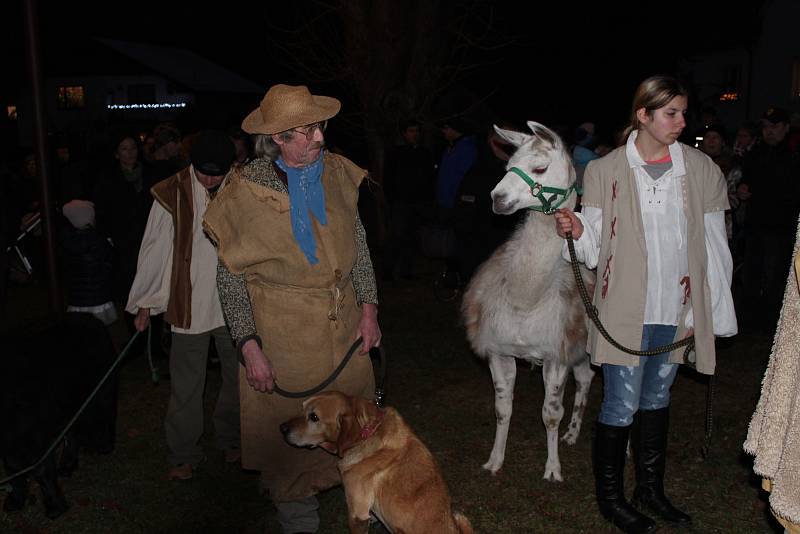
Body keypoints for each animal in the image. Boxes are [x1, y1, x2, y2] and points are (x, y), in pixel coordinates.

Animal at [0, 314, 118, 520]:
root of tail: (92, 319)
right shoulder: (11, 443)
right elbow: (13, 468)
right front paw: (16, 500)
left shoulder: (34, 438)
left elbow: (41, 471)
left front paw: (55, 506)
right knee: (72, 434)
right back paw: (68, 464)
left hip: (101, 390)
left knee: (106, 415)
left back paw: (105, 445)